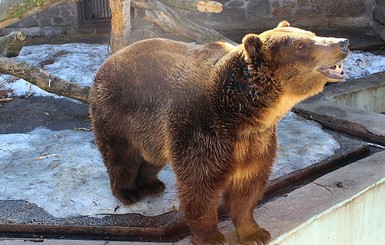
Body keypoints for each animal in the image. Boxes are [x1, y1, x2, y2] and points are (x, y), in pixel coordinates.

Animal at [89, 21, 348, 245]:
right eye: (301, 46)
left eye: (312, 34)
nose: (343, 43)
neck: (243, 114)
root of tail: (108, 61)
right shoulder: (202, 130)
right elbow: (200, 187)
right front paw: (212, 237)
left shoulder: (256, 140)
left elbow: (249, 186)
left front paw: (255, 232)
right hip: (116, 111)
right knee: (120, 156)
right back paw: (128, 192)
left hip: (151, 130)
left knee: (152, 158)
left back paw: (152, 184)